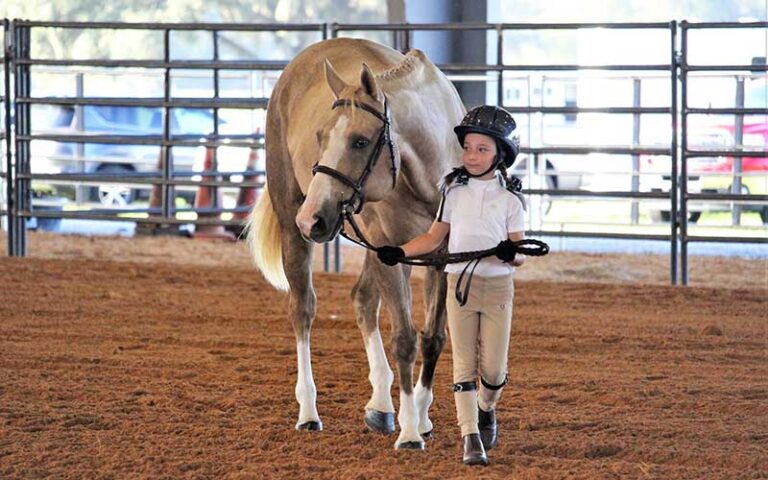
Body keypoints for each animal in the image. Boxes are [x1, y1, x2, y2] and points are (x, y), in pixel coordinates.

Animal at [248, 38, 462, 450]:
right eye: (320, 137)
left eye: (360, 141)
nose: (311, 218)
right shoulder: (391, 255)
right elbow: (405, 339)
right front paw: (410, 433)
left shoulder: (440, 258)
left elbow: (433, 337)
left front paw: (421, 417)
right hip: (294, 223)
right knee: (303, 310)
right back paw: (309, 411)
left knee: (362, 300)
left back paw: (381, 405)